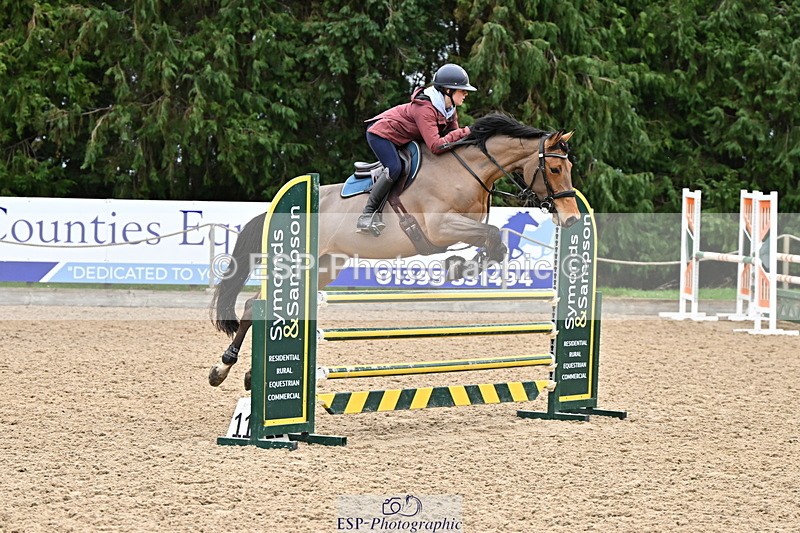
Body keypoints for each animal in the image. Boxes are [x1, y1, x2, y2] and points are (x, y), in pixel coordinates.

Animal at [208, 113, 579, 389]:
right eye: (555, 169)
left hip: (326, 265)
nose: (573, 219)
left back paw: (249, 376)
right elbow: (492, 235)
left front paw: (460, 266)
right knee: (255, 305)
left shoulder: (460, 229)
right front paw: (458, 266)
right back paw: (222, 369)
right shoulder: (440, 228)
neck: (468, 170)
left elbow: (494, 244)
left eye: (569, 169)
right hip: (297, 265)